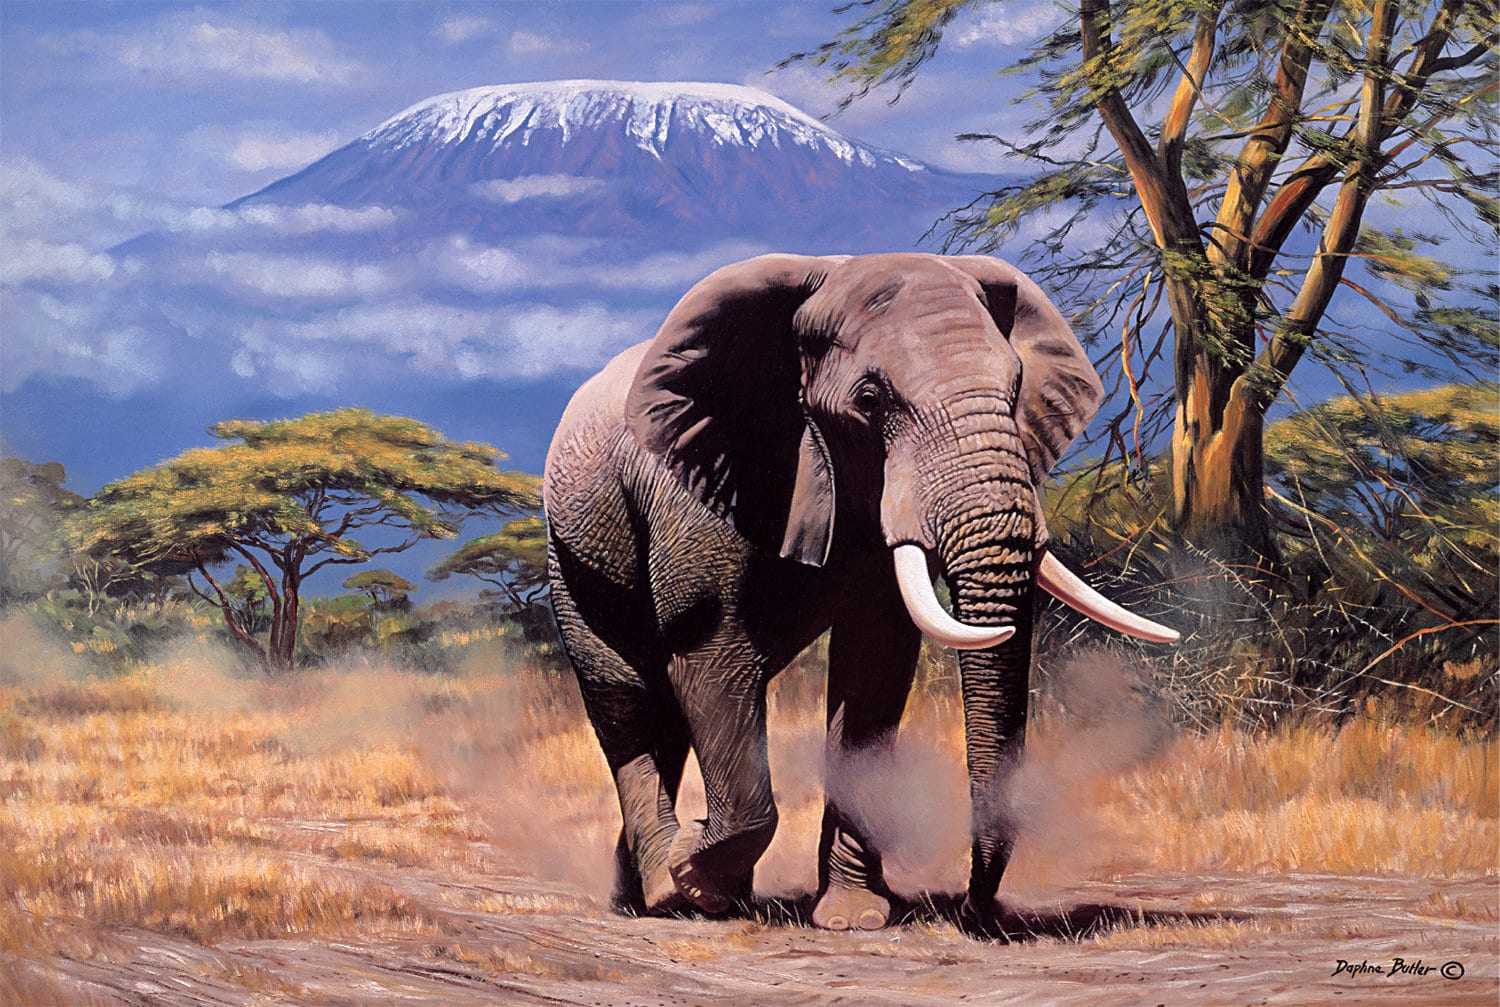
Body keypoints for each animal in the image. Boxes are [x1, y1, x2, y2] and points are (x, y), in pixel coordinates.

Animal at [542, 252, 1177, 937]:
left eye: (1014, 388)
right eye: (870, 401)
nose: (975, 911)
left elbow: (874, 665)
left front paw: (854, 919)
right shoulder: (704, 485)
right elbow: (711, 655)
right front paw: (692, 871)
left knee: (665, 714)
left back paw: (653, 893)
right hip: (570, 550)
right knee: (626, 700)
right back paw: (666, 894)